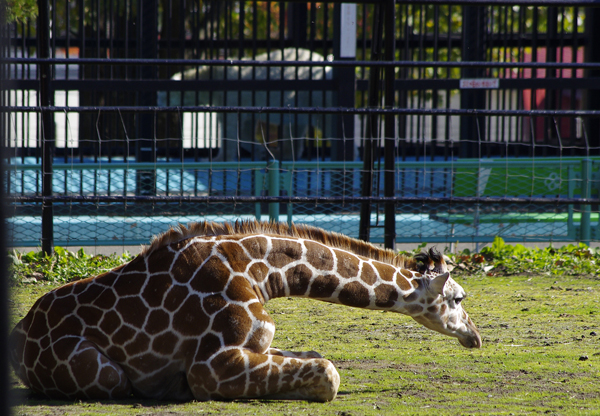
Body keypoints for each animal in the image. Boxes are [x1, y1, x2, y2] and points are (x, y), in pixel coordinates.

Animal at [9, 219, 480, 402]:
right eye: (459, 299)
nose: (475, 337)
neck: (263, 272)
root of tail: (19, 331)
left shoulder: (260, 345)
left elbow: (316, 359)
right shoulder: (211, 365)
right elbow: (329, 374)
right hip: (102, 373)